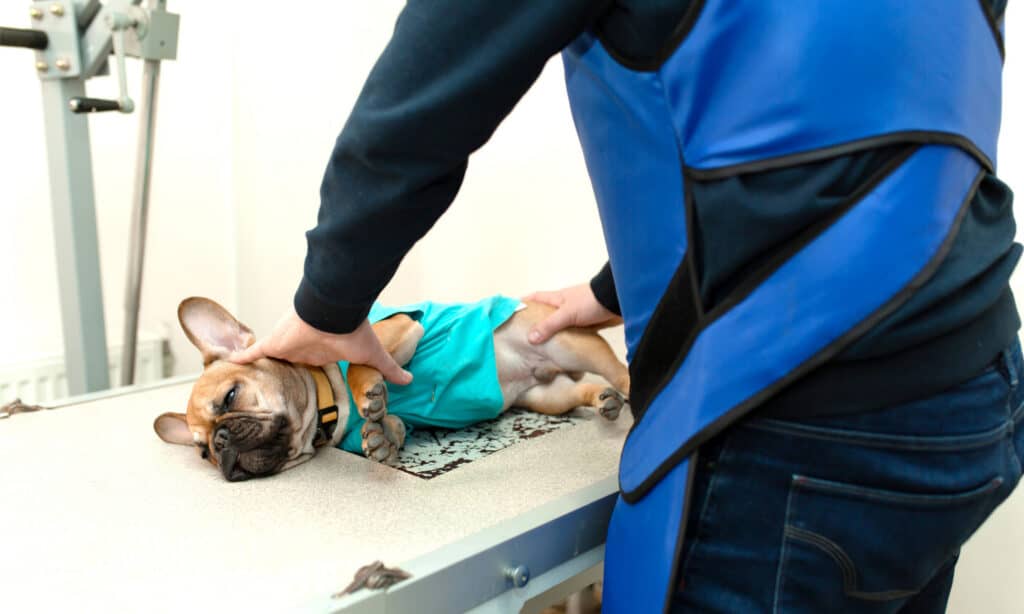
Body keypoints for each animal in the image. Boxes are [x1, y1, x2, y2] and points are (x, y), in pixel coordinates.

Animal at [154, 296, 626, 478]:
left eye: (231, 397)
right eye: (203, 453)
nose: (220, 442)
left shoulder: (394, 328)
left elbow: (362, 363)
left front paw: (369, 393)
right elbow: (393, 425)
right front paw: (383, 438)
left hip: (568, 342)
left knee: (615, 365)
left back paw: (628, 385)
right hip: (545, 397)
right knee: (576, 392)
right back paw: (602, 400)